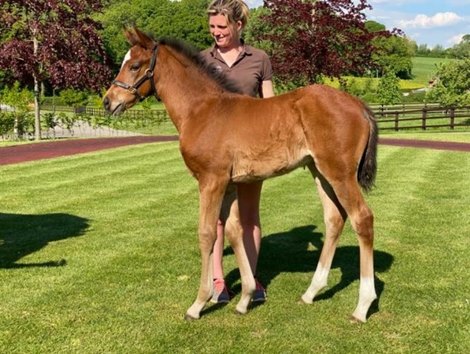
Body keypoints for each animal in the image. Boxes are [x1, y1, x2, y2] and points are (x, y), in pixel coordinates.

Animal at [103, 29, 378, 322]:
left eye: (134, 65)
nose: (108, 101)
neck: (202, 109)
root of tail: (359, 104)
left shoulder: (210, 181)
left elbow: (207, 234)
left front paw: (198, 304)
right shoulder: (229, 184)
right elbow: (235, 232)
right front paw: (245, 298)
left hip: (340, 174)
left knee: (362, 218)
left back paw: (362, 306)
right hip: (320, 172)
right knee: (334, 219)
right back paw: (311, 293)